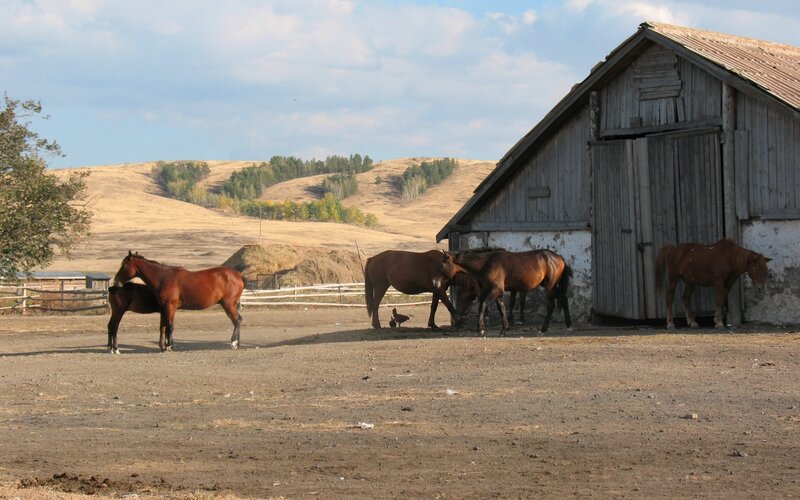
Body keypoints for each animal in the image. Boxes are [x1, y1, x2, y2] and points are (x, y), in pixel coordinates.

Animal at [113, 251, 245, 351]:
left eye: (124, 265)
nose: (116, 281)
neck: (163, 278)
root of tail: (238, 275)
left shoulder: (170, 307)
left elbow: (170, 326)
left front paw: (169, 346)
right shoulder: (164, 309)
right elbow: (164, 327)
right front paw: (164, 346)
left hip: (228, 304)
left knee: (236, 320)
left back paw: (234, 343)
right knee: (237, 320)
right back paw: (237, 343)